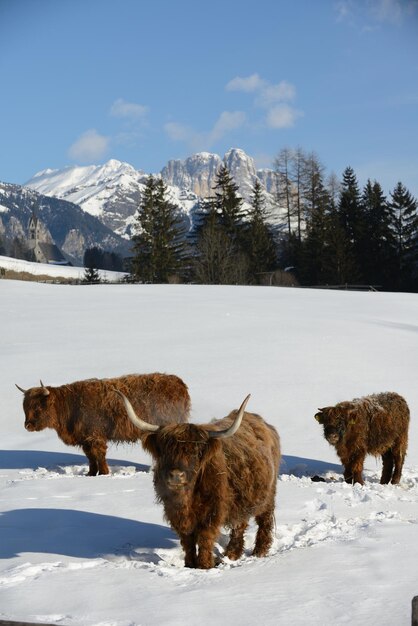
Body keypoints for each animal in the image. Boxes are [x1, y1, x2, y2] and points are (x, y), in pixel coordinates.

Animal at [16, 370, 189, 472]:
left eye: (38, 406)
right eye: (25, 407)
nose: (27, 425)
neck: (69, 406)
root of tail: (179, 383)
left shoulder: (95, 436)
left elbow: (99, 455)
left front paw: (105, 473)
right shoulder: (86, 439)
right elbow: (91, 458)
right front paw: (91, 475)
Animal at [116, 392, 280, 568]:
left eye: (195, 453)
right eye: (165, 451)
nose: (176, 475)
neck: (187, 498)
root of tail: (262, 422)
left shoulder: (212, 513)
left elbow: (205, 539)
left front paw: (204, 565)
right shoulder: (176, 513)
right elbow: (187, 541)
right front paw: (189, 564)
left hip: (268, 495)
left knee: (264, 520)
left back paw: (259, 552)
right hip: (241, 499)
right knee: (239, 524)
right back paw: (231, 554)